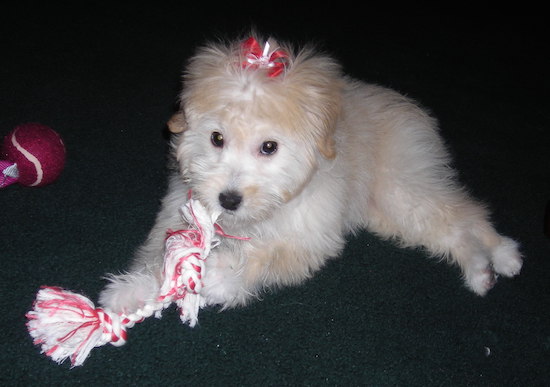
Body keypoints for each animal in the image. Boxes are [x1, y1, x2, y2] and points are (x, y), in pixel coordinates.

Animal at [99, 35, 528, 316]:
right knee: (448, 233)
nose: (228, 200)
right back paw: (480, 272)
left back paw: (503, 254)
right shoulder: (179, 208)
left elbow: (268, 255)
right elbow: (161, 250)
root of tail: (407, 106)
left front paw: (220, 275)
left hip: (403, 189)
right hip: (390, 213)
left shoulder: (312, 235)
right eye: (217, 138)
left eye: (269, 147)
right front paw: (131, 291)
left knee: (465, 213)